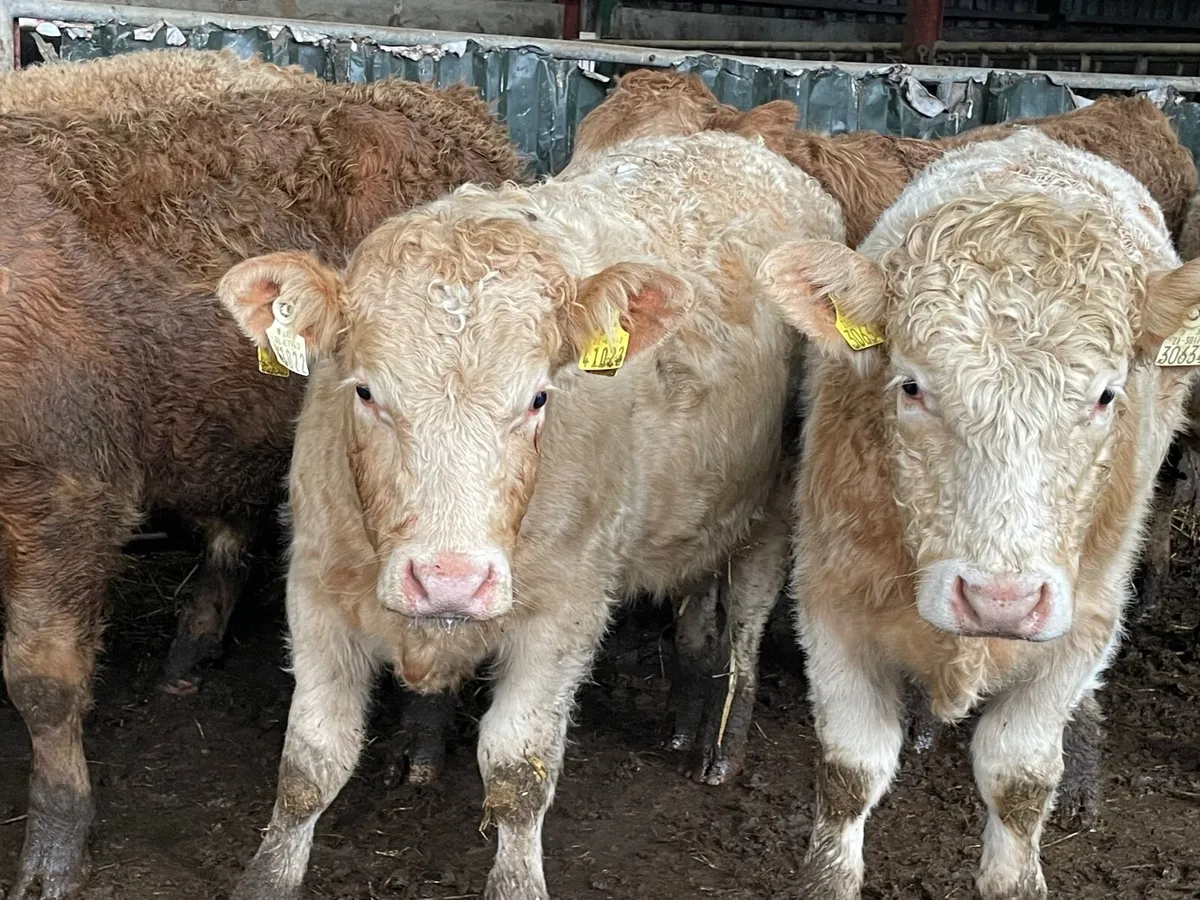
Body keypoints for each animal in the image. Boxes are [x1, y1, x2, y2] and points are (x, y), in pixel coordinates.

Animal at [0, 51, 522, 899]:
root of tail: (454, 108)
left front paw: (50, 864)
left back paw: (416, 757)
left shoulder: (68, 487)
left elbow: (42, 680)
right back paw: (187, 663)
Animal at [215, 129, 843, 900]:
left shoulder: (567, 611)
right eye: (364, 391)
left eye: (540, 396)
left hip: (775, 505)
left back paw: (722, 746)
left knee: (747, 627)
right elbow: (309, 762)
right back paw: (682, 718)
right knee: (696, 606)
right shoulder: (315, 585)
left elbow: (518, 773)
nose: (450, 579)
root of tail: (743, 145)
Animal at [757, 128, 1200, 899]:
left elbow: (1020, 781)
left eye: (1106, 395)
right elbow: (850, 772)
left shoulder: (1082, 623)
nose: (1002, 599)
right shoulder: (830, 600)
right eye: (910, 386)